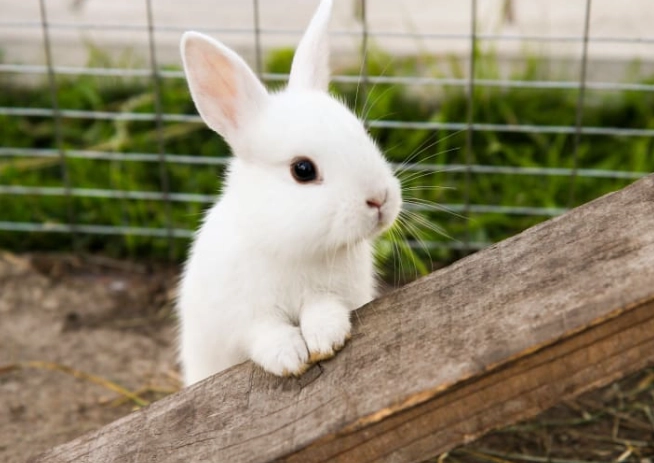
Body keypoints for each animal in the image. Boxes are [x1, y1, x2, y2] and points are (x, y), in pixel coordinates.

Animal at [177, 0, 402, 386]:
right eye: (303, 169)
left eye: (362, 132)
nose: (379, 200)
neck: (292, 247)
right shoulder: (244, 317)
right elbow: (265, 333)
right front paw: (289, 357)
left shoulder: (335, 294)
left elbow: (323, 309)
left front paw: (326, 338)